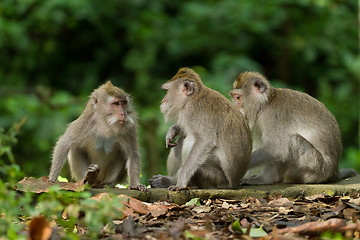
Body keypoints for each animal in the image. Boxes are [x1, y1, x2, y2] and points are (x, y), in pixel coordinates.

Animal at [228, 71, 358, 186]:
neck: (266, 103)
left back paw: (267, 179)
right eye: (234, 97)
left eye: (238, 97)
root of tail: (334, 171)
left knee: (292, 141)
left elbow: (276, 148)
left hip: (316, 169)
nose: (235, 107)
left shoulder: (273, 117)